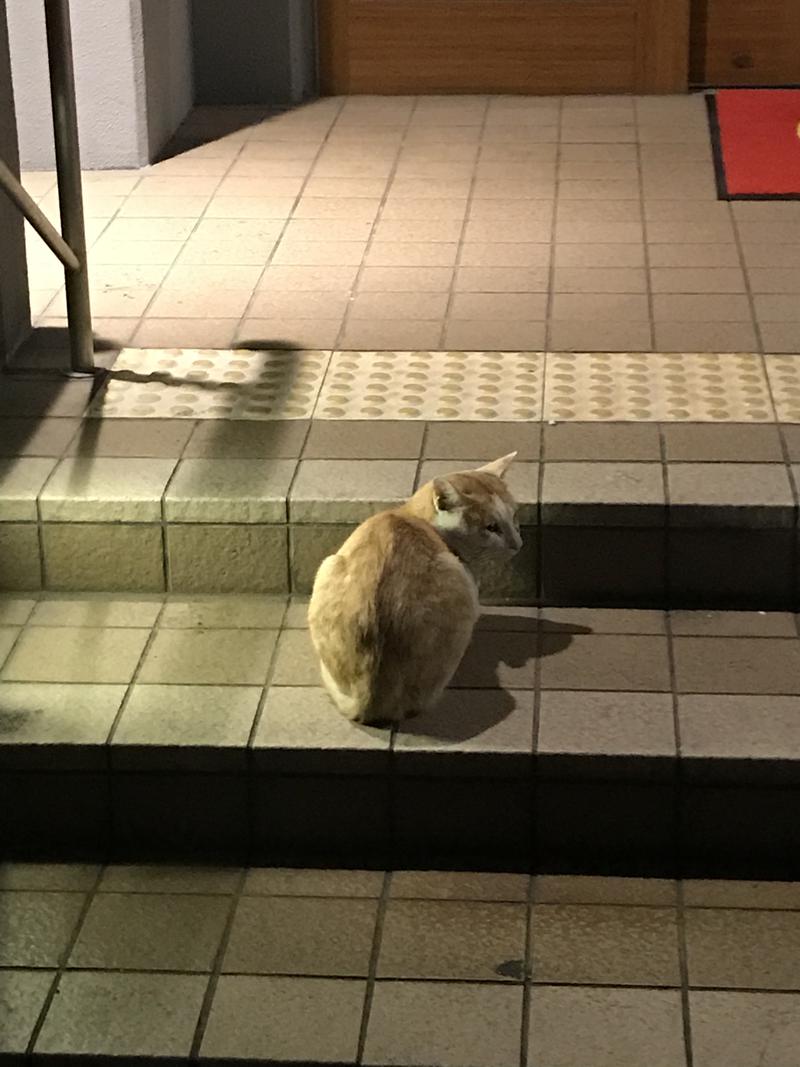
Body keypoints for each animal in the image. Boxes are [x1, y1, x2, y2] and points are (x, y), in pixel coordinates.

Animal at [307, 450, 520, 725]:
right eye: (491, 527)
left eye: (514, 517)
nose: (518, 543)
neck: (411, 516)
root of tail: (368, 700)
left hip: (328, 566)